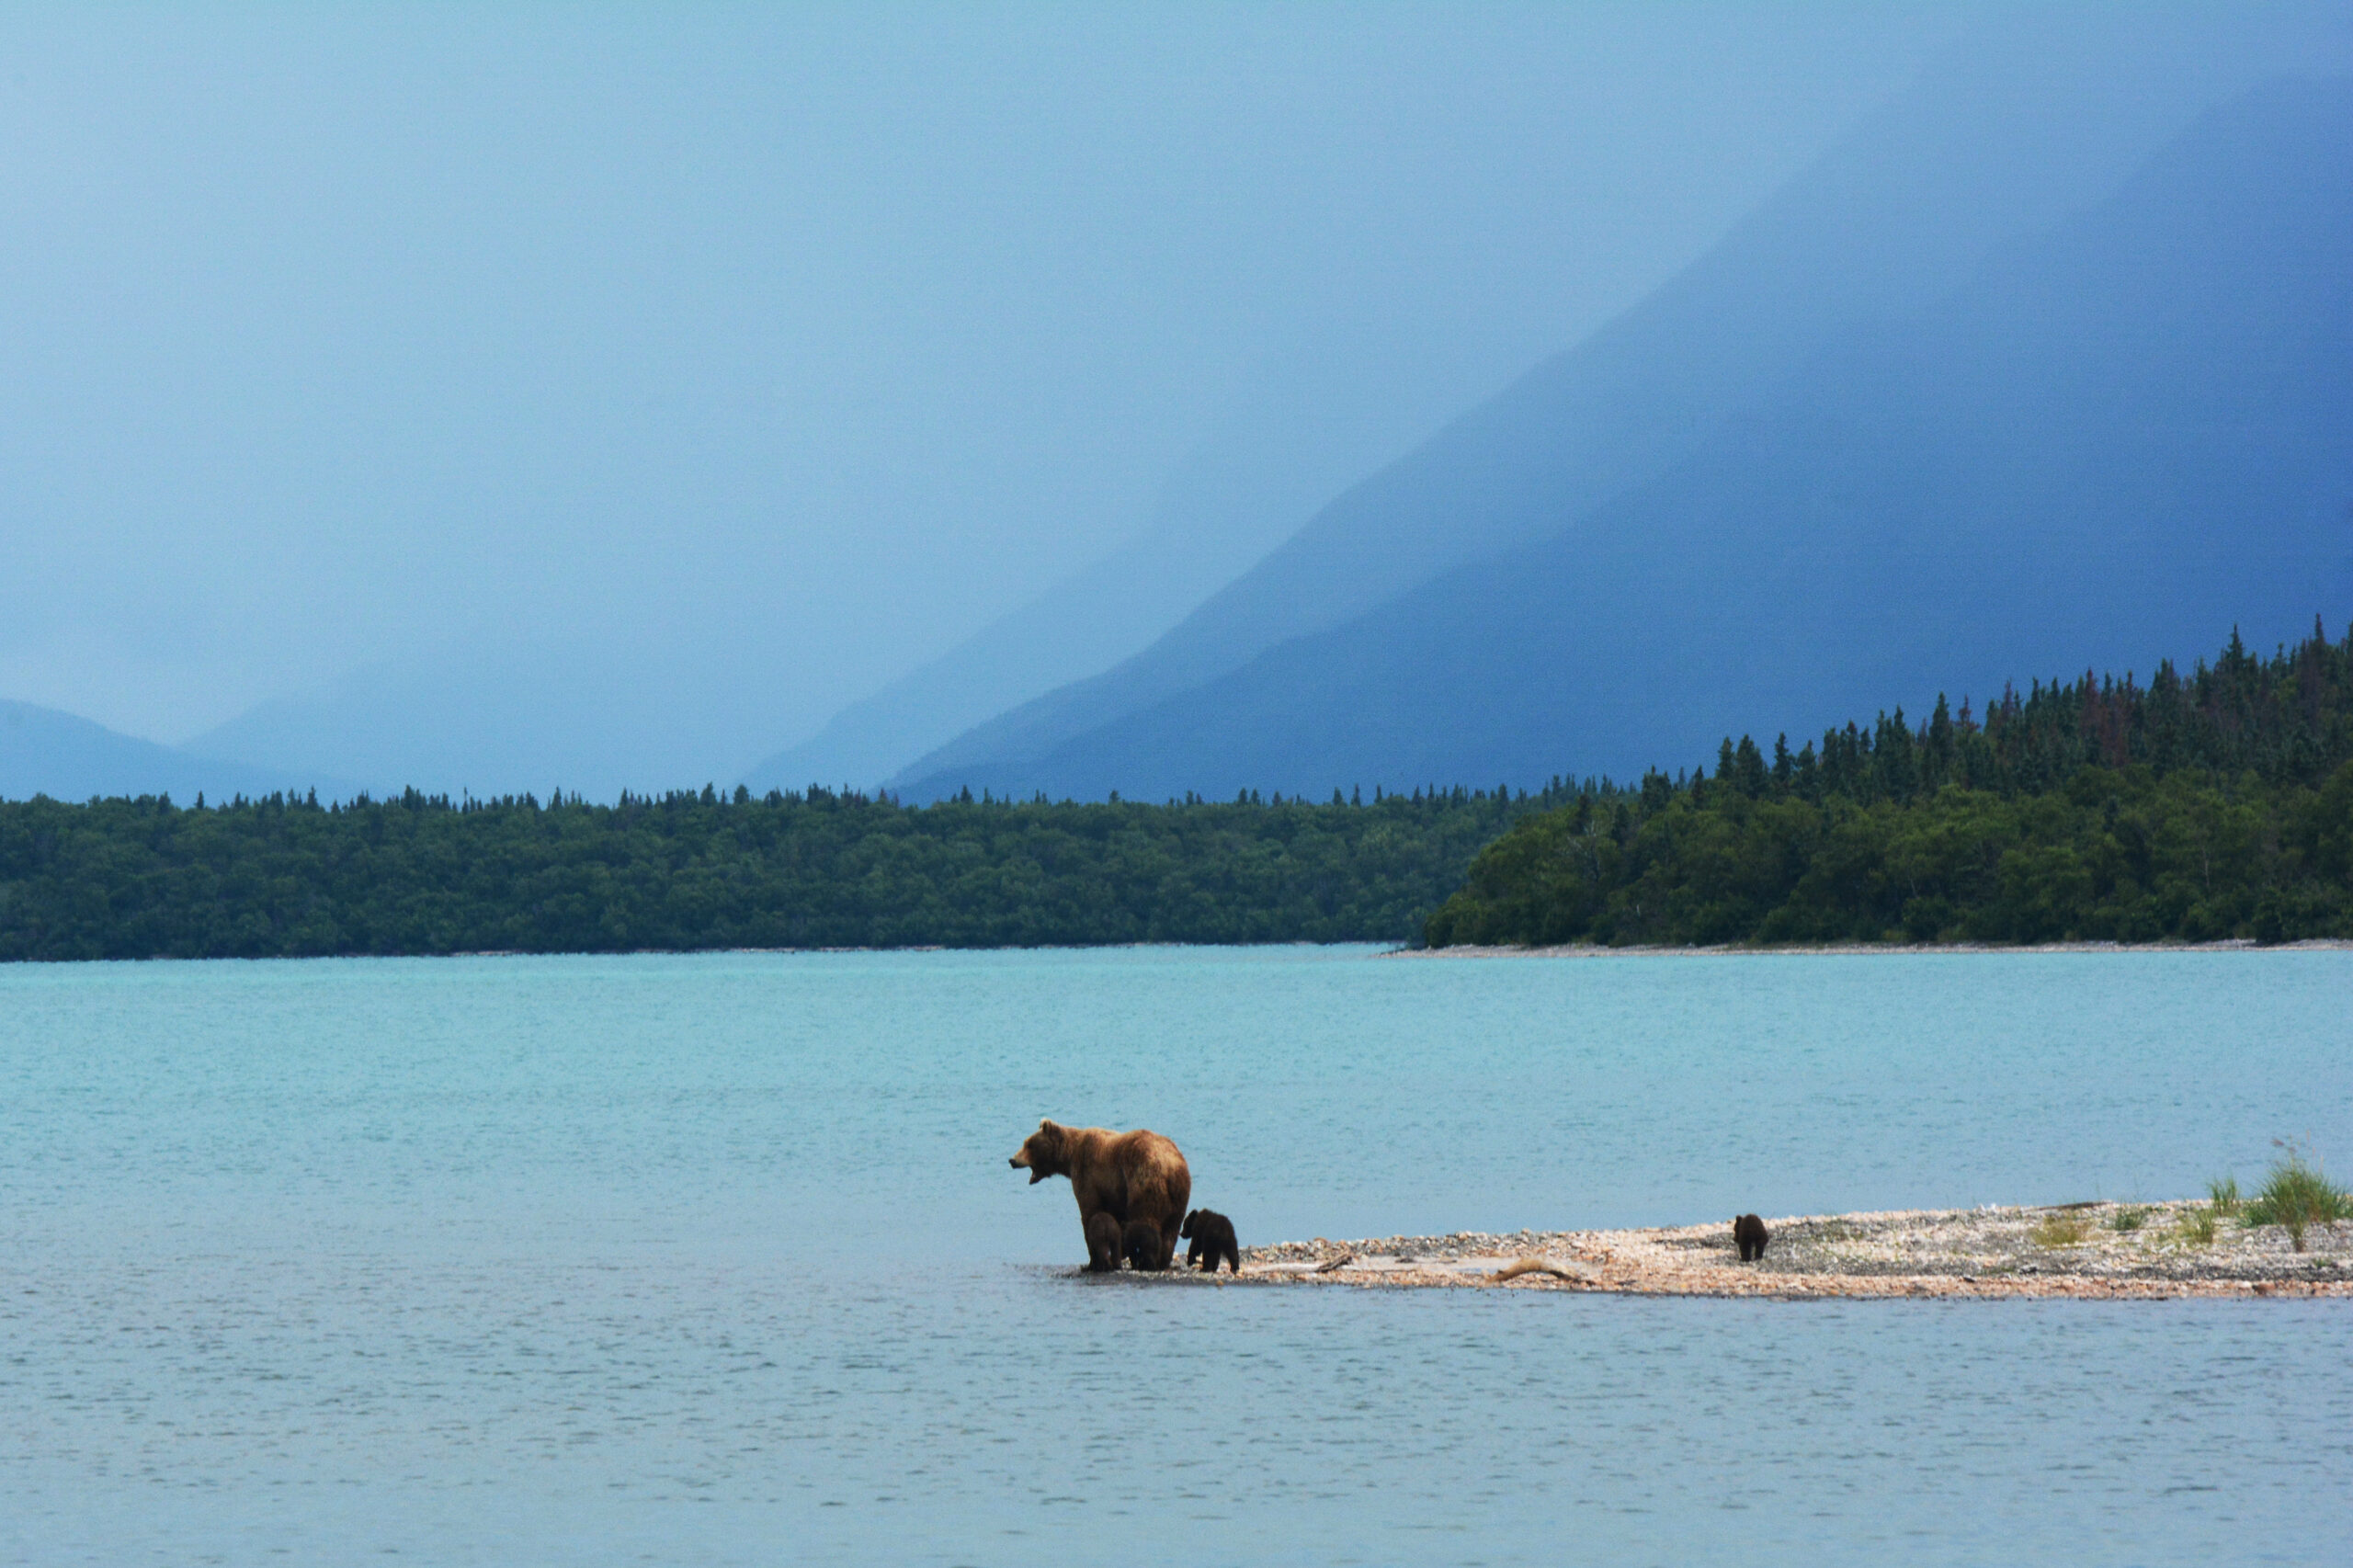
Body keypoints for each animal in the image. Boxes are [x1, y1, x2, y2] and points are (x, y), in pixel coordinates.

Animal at [1011, 1111, 1195, 1271]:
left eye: (1029, 1144)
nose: (1012, 1160)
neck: (1069, 1156)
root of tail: (1171, 1167)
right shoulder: (1113, 1191)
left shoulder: (1088, 1175)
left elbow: (1090, 1212)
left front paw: (1093, 1262)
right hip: (1180, 1194)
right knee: (1171, 1230)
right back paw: (1163, 1261)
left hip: (1144, 1180)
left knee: (1146, 1220)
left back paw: (1147, 1262)